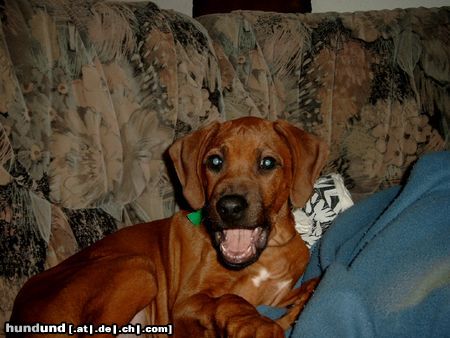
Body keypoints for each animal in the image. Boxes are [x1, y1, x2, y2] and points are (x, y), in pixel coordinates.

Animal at [8, 115, 328, 336]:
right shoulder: (186, 303)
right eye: (214, 161)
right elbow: (230, 299)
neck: (266, 254)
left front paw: (308, 295)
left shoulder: (281, 293)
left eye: (267, 163)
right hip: (138, 268)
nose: (229, 207)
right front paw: (256, 324)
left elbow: (307, 286)